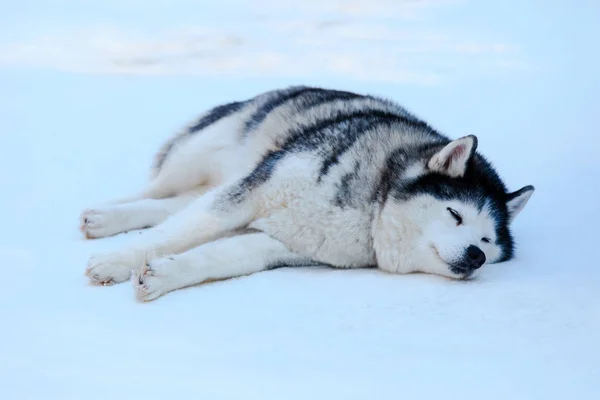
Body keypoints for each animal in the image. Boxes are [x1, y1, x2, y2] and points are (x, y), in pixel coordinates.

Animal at [81, 86, 536, 302]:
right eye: (455, 215)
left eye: (486, 240)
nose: (476, 257)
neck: (370, 209)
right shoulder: (252, 193)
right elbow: (172, 236)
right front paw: (116, 261)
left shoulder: (286, 243)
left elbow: (217, 256)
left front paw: (163, 276)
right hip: (204, 158)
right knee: (158, 193)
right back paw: (105, 215)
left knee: (176, 204)